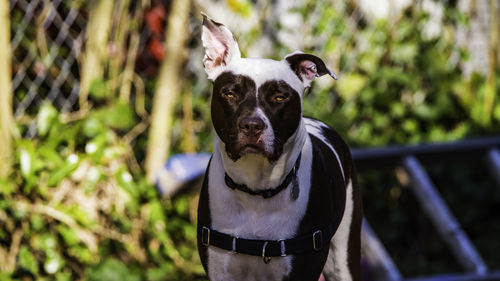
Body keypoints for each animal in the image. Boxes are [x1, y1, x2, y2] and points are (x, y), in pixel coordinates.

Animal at [196, 13, 364, 280]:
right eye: (230, 94)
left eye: (279, 97)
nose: (252, 125)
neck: (255, 189)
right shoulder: (220, 269)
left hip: (344, 258)